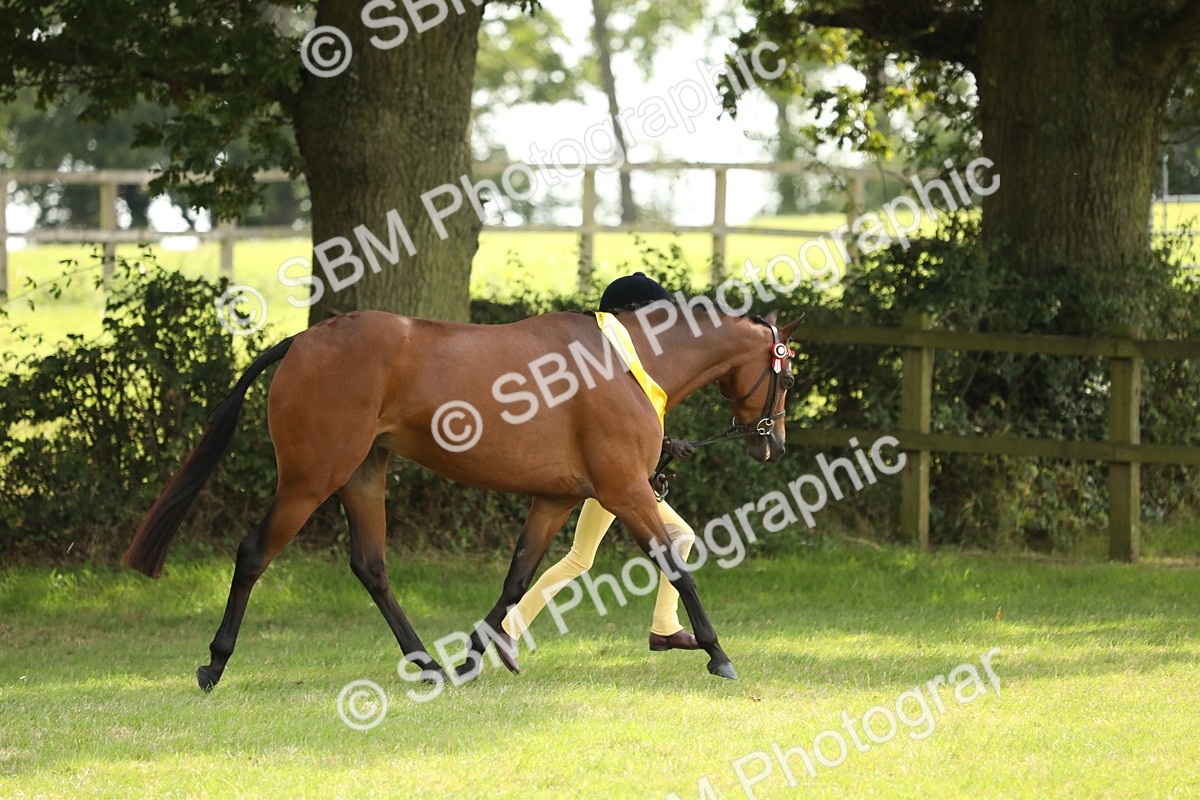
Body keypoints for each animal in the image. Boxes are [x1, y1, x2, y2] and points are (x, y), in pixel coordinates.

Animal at [124, 299, 799, 690]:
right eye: (787, 376)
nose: (774, 444)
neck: (624, 363)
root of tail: (303, 340)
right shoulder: (626, 491)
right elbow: (677, 567)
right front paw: (716, 652)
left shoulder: (555, 499)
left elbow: (517, 578)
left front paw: (476, 657)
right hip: (311, 479)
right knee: (253, 554)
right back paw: (214, 663)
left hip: (364, 474)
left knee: (370, 566)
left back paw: (427, 664)